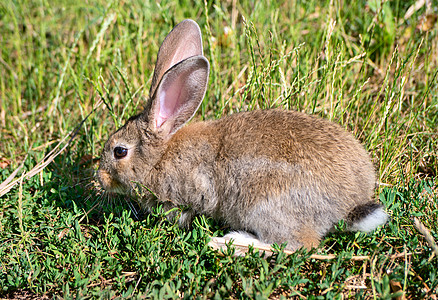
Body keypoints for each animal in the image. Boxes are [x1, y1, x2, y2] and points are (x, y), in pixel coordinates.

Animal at [97, 19, 388, 251]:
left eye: (119, 151)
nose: (100, 177)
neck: (159, 156)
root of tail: (349, 204)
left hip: (264, 205)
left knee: (297, 245)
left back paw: (229, 242)